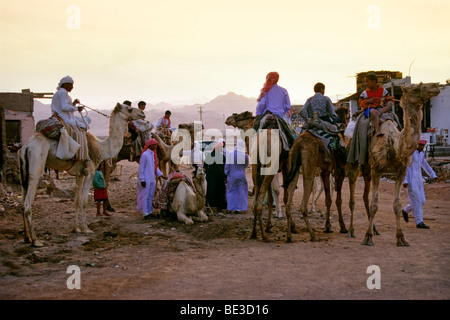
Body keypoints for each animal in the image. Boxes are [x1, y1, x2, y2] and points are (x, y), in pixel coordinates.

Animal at [18, 104, 145, 246]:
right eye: (129, 108)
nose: (142, 113)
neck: (101, 147)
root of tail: (26, 147)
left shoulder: (79, 173)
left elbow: (77, 200)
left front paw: (76, 229)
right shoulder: (90, 171)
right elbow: (84, 200)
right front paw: (86, 229)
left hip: (23, 173)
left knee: (22, 204)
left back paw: (27, 238)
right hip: (36, 165)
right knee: (27, 204)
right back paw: (36, 241)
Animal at [282, 105, 352, 242]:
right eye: (348, 116)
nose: (346, 123)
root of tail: (299, 144)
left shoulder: (325, 171)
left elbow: (328, 199)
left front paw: (328, 226)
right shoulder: (340, 170)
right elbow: (338, 200)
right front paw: (342, 227)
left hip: (294, 167)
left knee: (288, 202)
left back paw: (289, 236)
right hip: (309, 166)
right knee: (303, 204)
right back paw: (312, 235)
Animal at [346, 82, 442, 245]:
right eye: (416, 88)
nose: (435, 86)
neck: (395, 146)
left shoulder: (401, 171)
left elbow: (397, 205)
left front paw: (401, 239)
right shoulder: (377, 169)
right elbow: (374, 205)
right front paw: (368, 237)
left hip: (367, 168)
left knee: (365, 196)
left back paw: (375, 230)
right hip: (354, 161)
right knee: (353, 197)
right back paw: (351, 231)